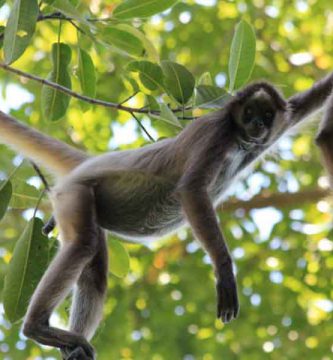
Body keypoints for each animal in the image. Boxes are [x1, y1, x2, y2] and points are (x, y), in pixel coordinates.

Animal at [0, 71, 332, 358]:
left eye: (266, 116)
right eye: (249, 113)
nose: (258, 127)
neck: (239, 139)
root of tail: (89, 163)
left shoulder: (282, 119)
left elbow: (311, 99)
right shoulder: (217, 132)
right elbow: (192, 189)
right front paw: (224, 272)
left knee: (94, 273)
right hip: (74, 193)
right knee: (83, 244)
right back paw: (37, 328)